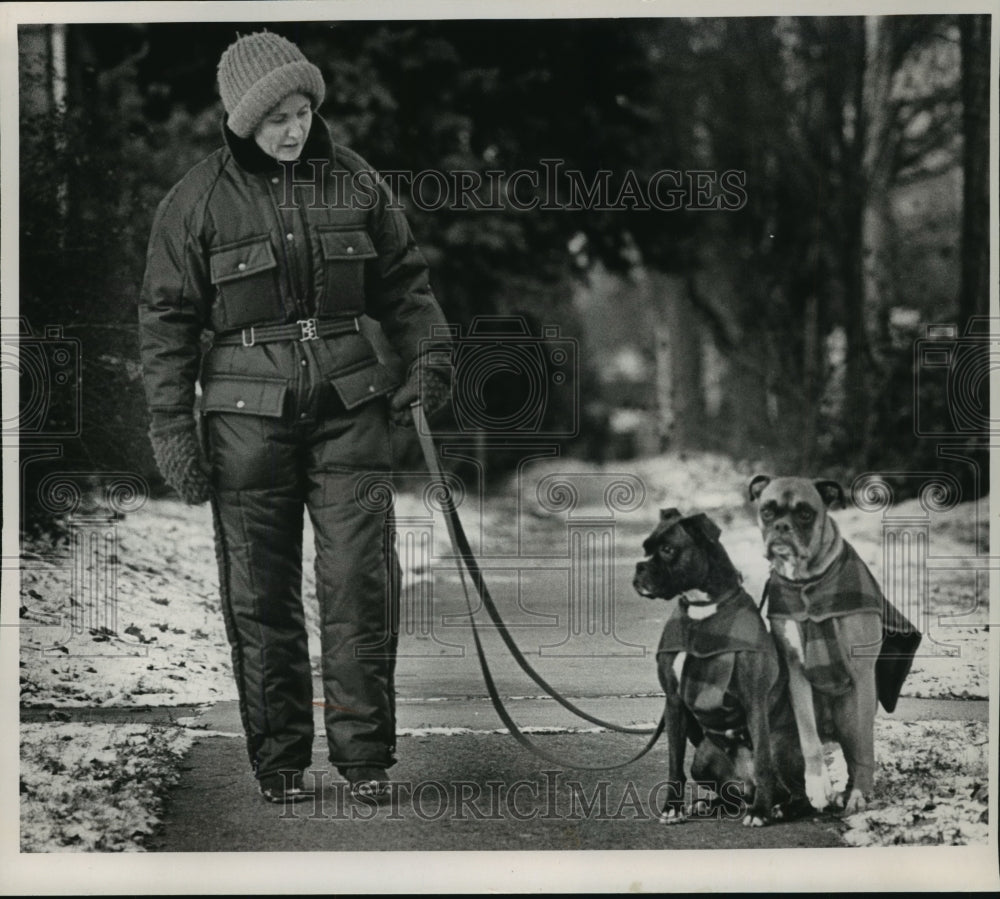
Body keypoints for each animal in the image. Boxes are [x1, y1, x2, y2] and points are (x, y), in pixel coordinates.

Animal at [636, 510, 808, 828]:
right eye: (645, 548)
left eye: (667, 549)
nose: (639, 568)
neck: (703, 609)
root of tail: (746, 783)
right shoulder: (674, 702)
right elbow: (674, 764)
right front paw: (672, 808)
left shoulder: (755, 700)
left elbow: (762, 762)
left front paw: (760, 813)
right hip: (704, 759)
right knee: (732, 796)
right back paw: (709, 803)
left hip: (780, 747)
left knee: (799, 794)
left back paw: (776, 807)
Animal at [752, 474, 920, 820]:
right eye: (767, 511)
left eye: (805, 514)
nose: (782, 527)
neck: (807, 583)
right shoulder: (796, 672)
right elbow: (809, 738)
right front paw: (819, 786)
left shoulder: (862, 674)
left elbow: (864, 749)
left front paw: (857, 795)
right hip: (775, 740)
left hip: (849, 713)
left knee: (856, 751)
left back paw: (852, 793)